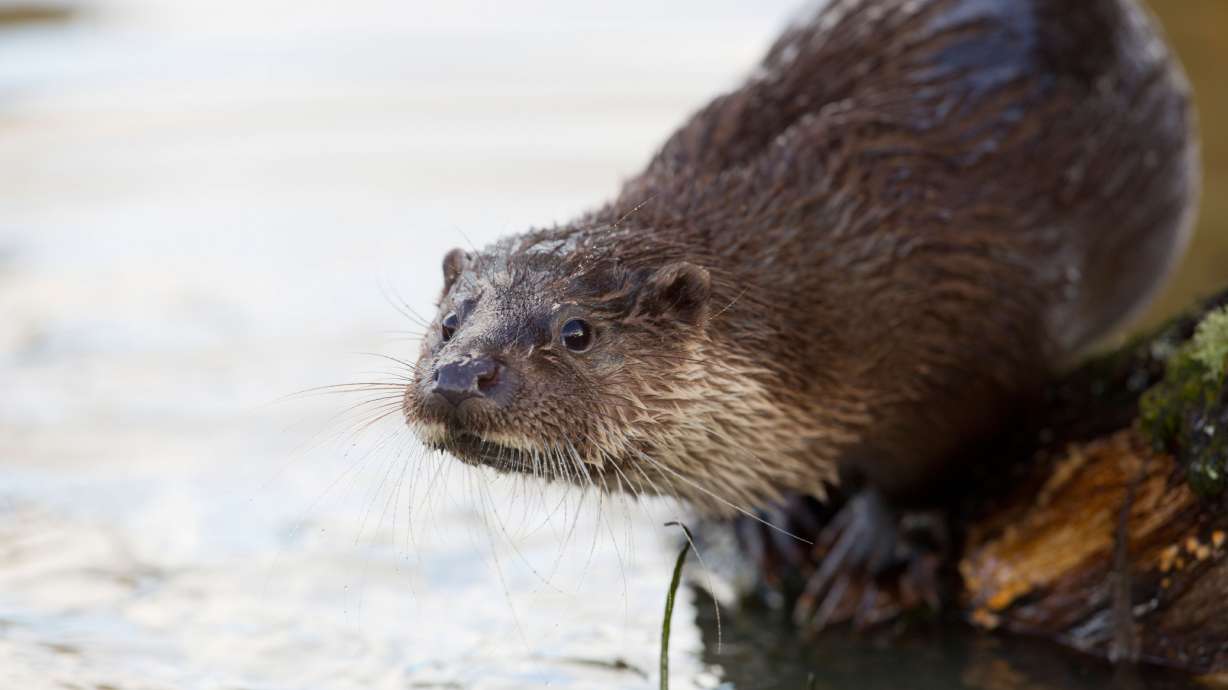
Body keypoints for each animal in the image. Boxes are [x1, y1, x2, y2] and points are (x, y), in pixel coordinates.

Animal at [402, 0, 1198, 624]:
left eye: (576, 333)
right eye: (449, 322)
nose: (459, 374)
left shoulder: (977, 342)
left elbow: (932, 458)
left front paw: (877, 540)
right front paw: (771, 517)